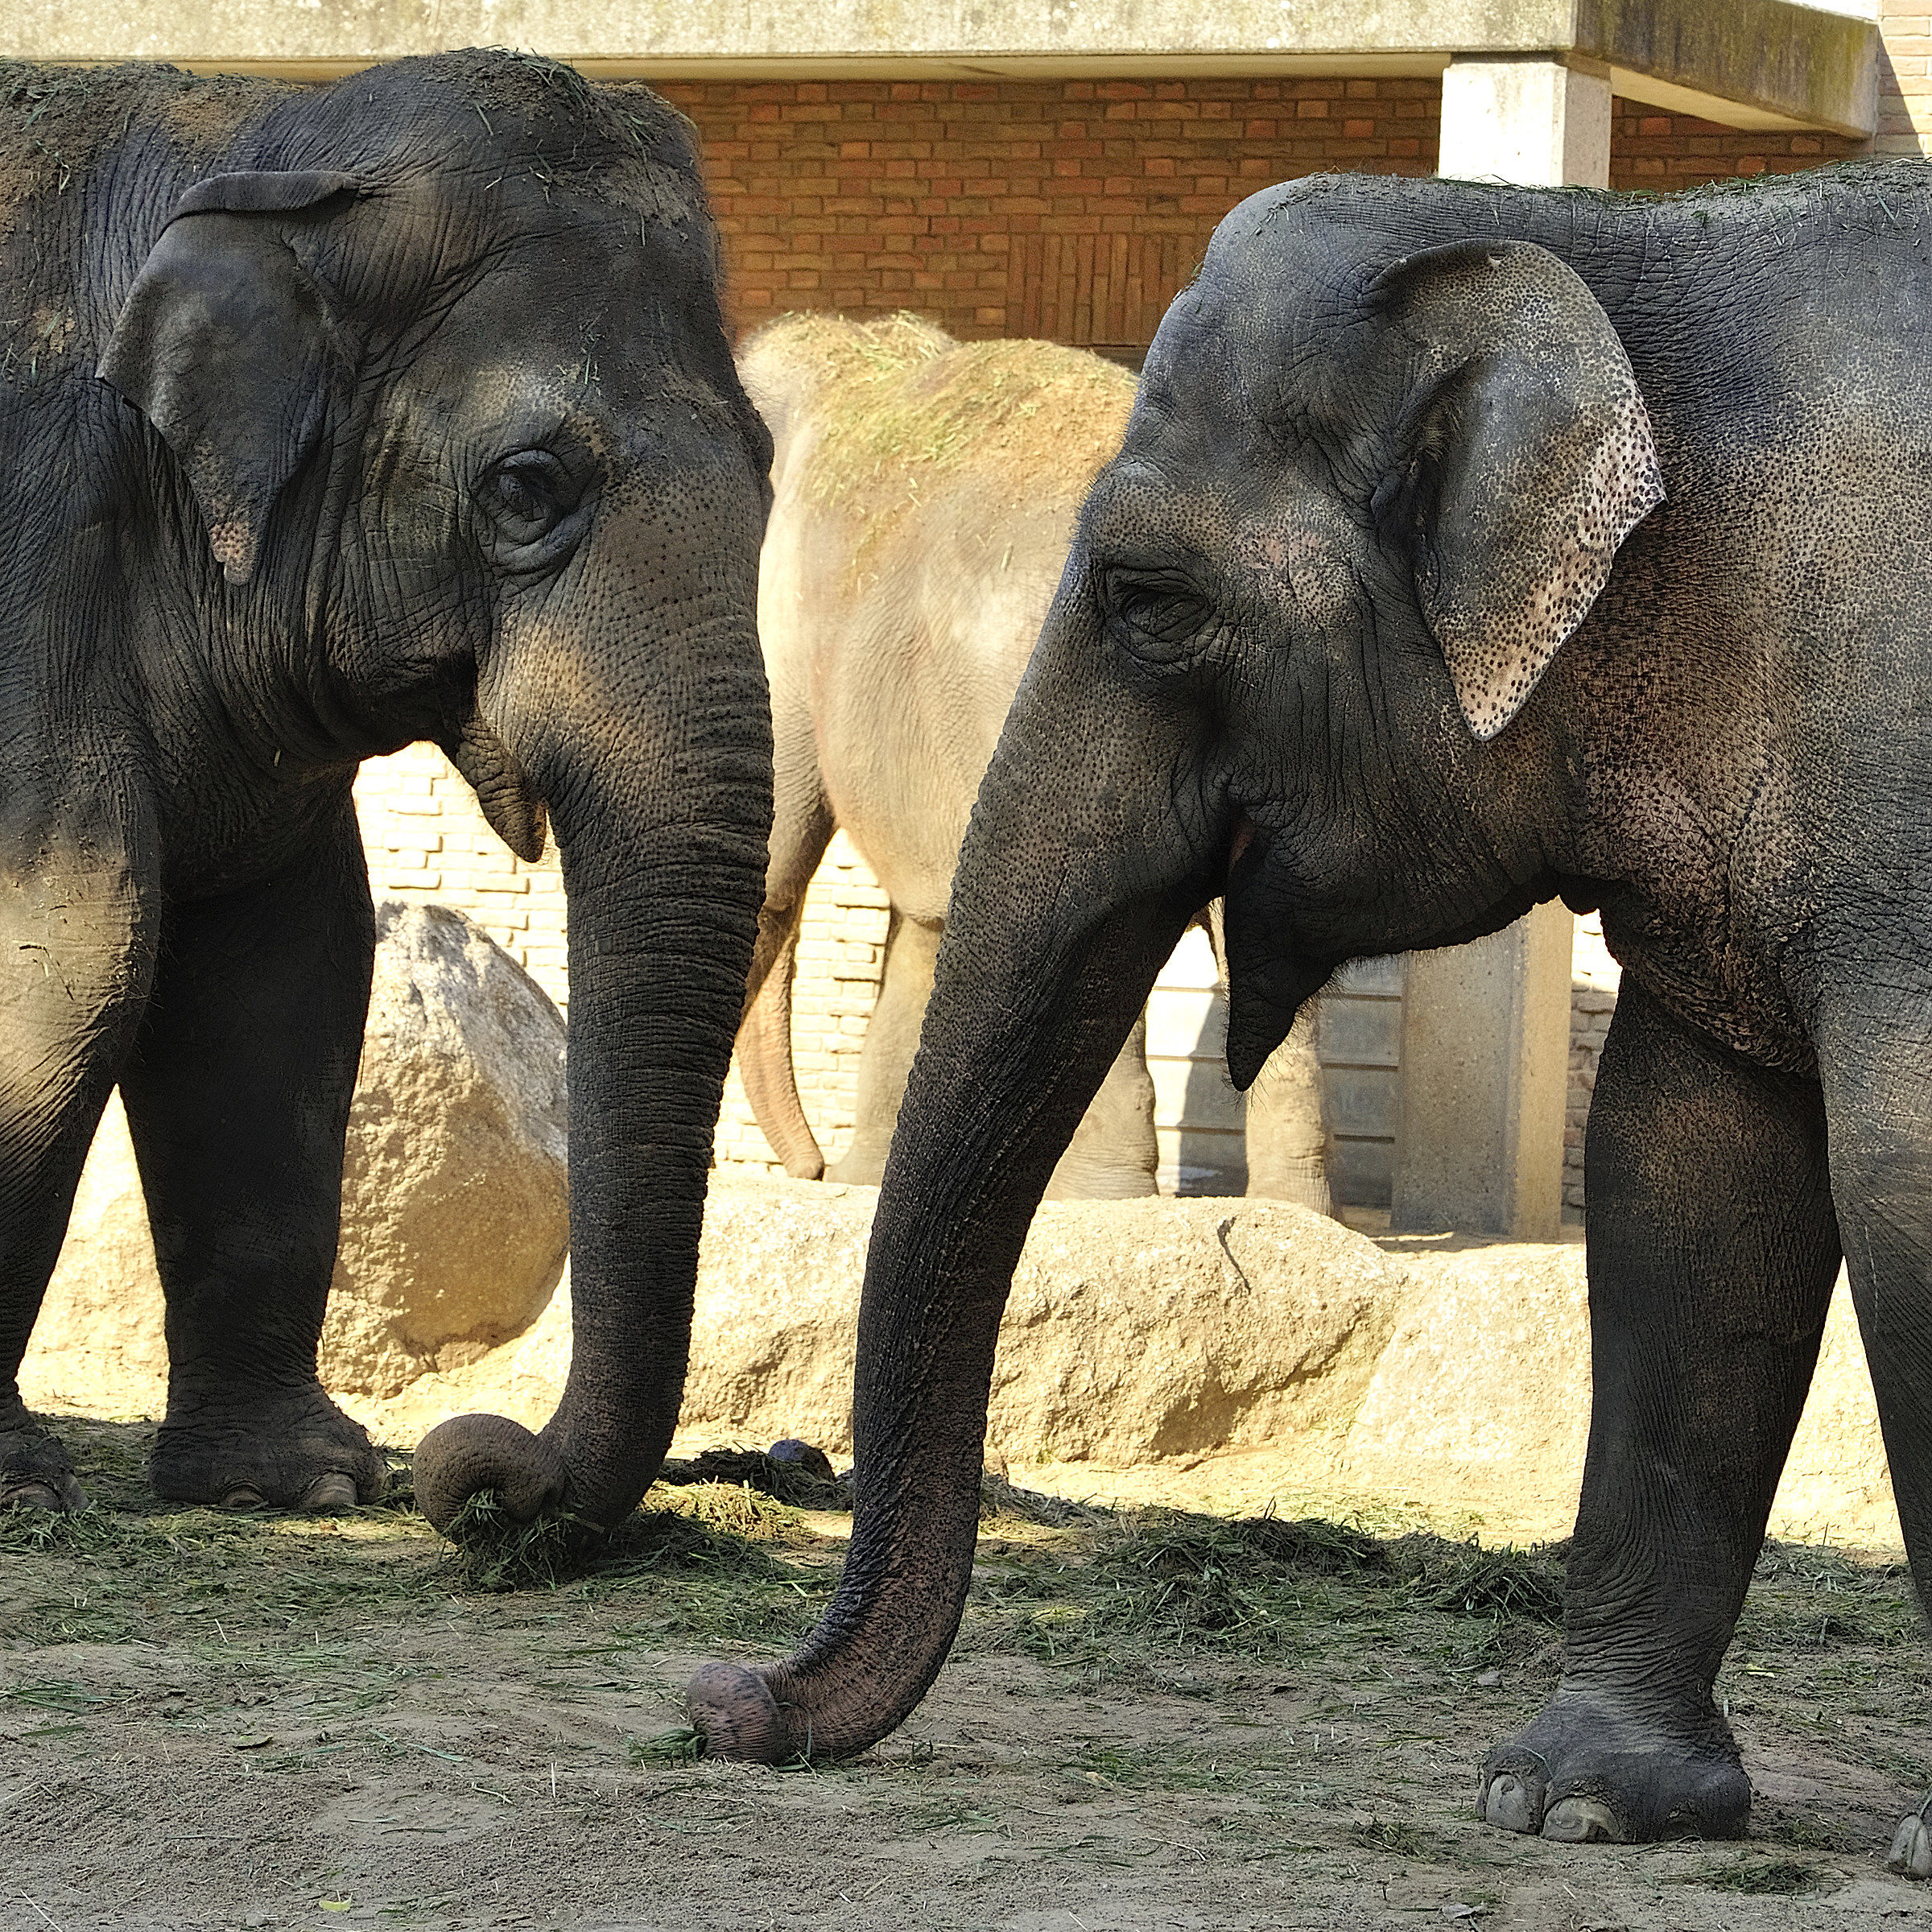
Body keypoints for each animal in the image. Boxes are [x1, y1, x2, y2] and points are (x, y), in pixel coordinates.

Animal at [0, 55, 772, 1530]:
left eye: (769, 469)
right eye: (528, 485)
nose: (471, 1475)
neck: (251, 142)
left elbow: (284, 977)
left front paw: (299, 1482)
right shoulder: (28, 544)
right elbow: (74, 949)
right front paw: (20, 1487)